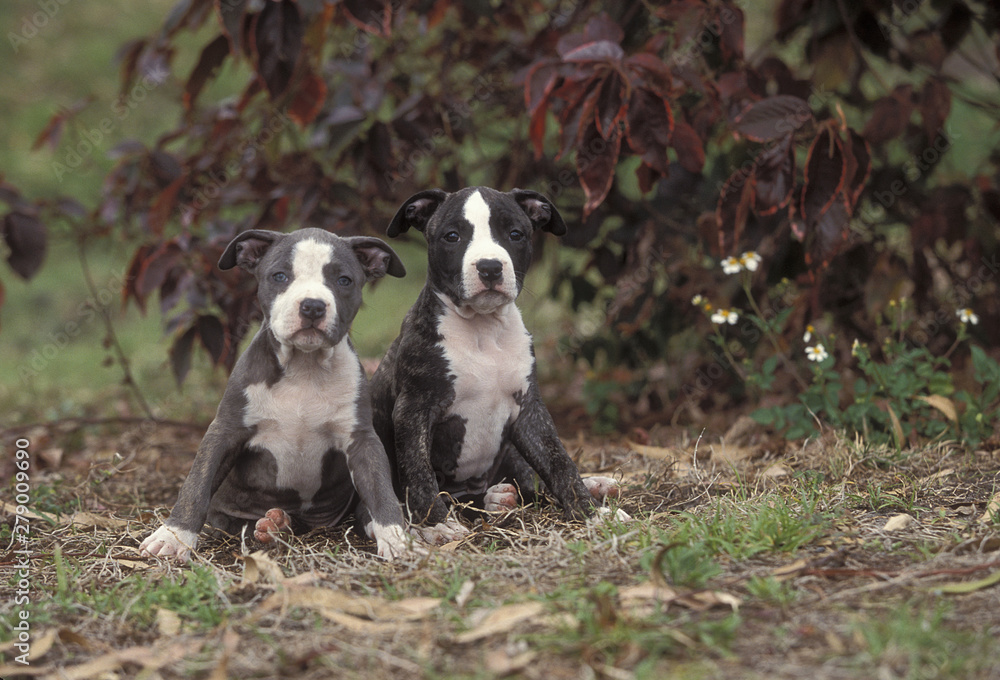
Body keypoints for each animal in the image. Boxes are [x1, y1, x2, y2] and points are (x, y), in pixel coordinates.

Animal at [139, 228, 412, 564]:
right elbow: (196, 484)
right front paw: (173, 536)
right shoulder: (225, 430)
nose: (312, 306)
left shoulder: (361, 440)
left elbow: (380, 488)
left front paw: (396, 537)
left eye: (344, 280)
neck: (304, 368)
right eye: (280, 276)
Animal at [370, 185, 616, 540]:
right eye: (452, 236)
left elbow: (559, 462)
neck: (483, 330)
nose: (489, 267)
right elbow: (417, 470)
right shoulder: (413, 409)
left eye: (515, 234)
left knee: (529, 484)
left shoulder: (529, 411)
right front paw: (437, 523)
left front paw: (592, 513)